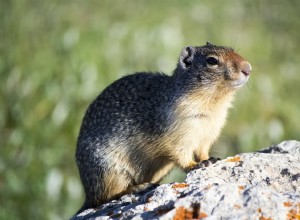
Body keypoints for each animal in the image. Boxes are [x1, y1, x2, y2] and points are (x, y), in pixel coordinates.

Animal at [75, 42, 251, 212]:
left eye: (232, 49)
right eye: (212, 60)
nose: (248, 68)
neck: (213, 104)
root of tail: (87, 194)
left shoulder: (207, 134)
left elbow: (202, 151)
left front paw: (209, 159)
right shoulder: (175, 134)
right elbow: (180, 154)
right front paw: (195, 165)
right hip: (109, 171)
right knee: (105, 197)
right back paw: (139, 187)